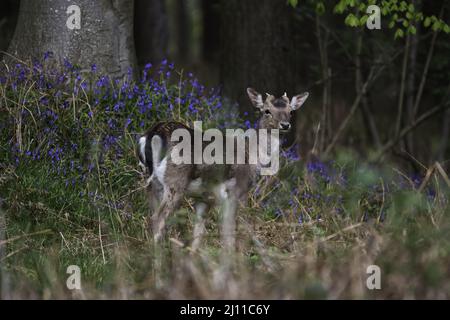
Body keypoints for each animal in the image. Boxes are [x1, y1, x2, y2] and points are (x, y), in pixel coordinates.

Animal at [138, 87, 310, 245]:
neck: (252, 156)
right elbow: (229, 231)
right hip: (175, 181)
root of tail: (153, 134)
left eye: (291, 111)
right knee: (158, 217)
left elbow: (198, 234)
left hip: (152, 182)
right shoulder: (236, 190)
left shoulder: (204, 197)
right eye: (267, 111)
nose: (285, 125)